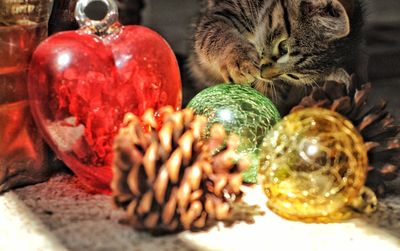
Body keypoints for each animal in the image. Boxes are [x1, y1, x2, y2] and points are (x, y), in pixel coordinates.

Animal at [190, 0, 362, 112]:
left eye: (292, 76)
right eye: (283, 48)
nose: (263, 74)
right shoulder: (221, 13)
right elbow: (217, 34)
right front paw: (240, 60)